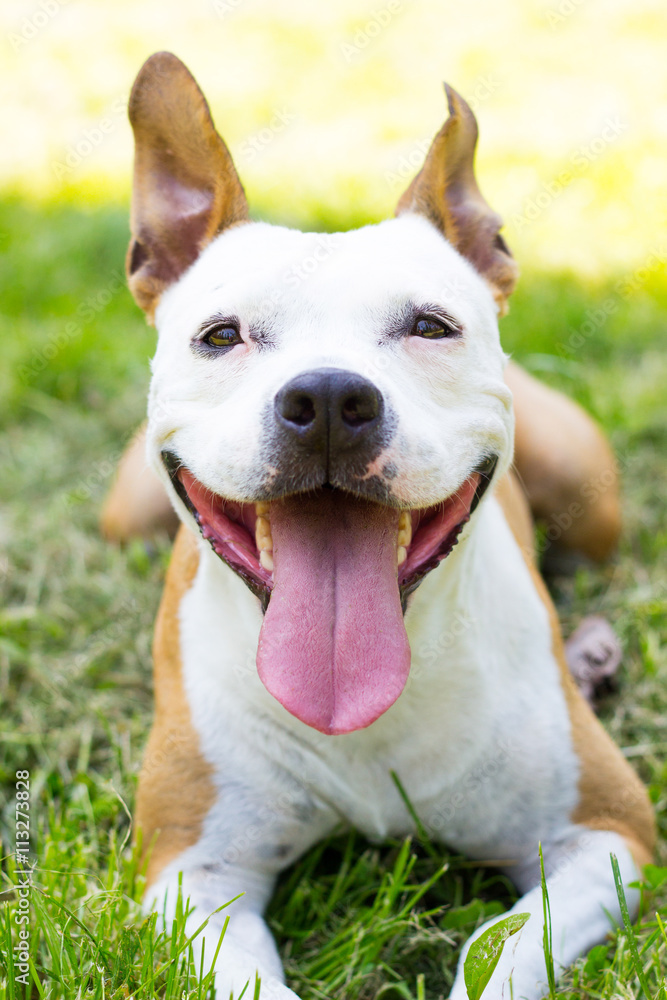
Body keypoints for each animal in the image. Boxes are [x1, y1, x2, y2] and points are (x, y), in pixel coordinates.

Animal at [105, 56, 656, 1000]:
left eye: (430, 326)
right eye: (220, 336)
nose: (328, 398)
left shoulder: (607, 836)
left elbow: (498, 952)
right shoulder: (192, 871)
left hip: (591, 502)